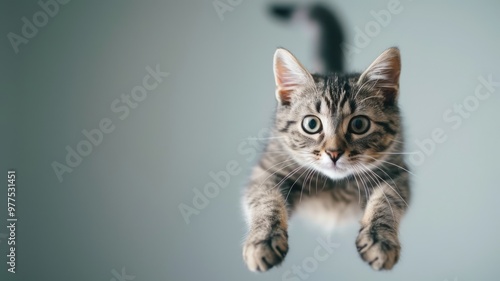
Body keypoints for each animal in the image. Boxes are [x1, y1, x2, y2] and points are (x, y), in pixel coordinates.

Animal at [242, 47, 410, 272]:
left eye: (359, 124)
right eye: (311, 124)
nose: (334, 153)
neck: (334, 185)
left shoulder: (396, 172)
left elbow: (386, 201)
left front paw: (380, 240)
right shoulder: (267, 170)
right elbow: (266, 201)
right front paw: (263, 241)